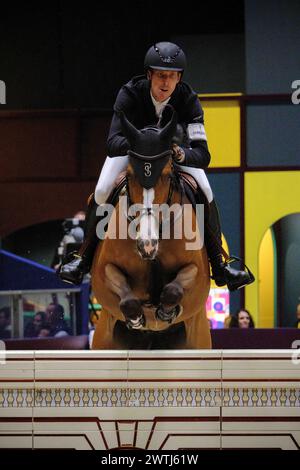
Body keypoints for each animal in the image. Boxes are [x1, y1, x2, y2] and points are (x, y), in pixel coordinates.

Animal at [91, 106, 211, 348]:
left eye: (166, 175)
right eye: (130, 175)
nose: (147, 246)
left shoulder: (197, 274)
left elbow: (174, 289)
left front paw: (165, 313)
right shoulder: (104, 271)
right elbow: (126, 298)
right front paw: (137, 318)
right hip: (101, 341)